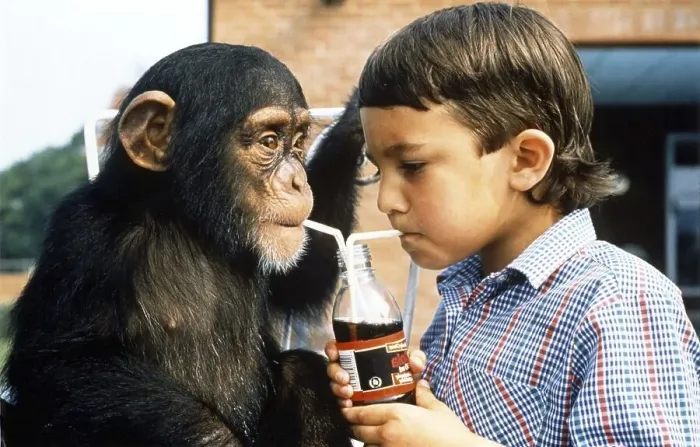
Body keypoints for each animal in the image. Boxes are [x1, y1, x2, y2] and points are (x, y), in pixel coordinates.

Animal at [1, 42, 365, 446]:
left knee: (302, 371)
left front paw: (355, 117)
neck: (190, 223)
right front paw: (215, 439)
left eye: (299, 142)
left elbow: (300, 280)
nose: (298, 181)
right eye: (269, 141)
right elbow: (61, 362)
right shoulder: (82, 239)